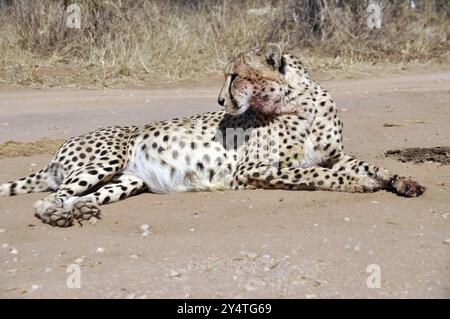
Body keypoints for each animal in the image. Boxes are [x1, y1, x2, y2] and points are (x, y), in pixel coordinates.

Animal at [0, 44, 426, 228]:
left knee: (79, 195)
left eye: (234, 75)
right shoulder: (254, 169)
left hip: (128, 181)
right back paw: (58, 216)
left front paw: (402, 180)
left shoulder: (336, 155)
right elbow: (315, 173)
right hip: (107, 158)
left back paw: (82, 210)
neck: (297, 101)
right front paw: (358, 184)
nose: (220, 100)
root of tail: (57, 152)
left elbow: (369, 165)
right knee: (48, 198)